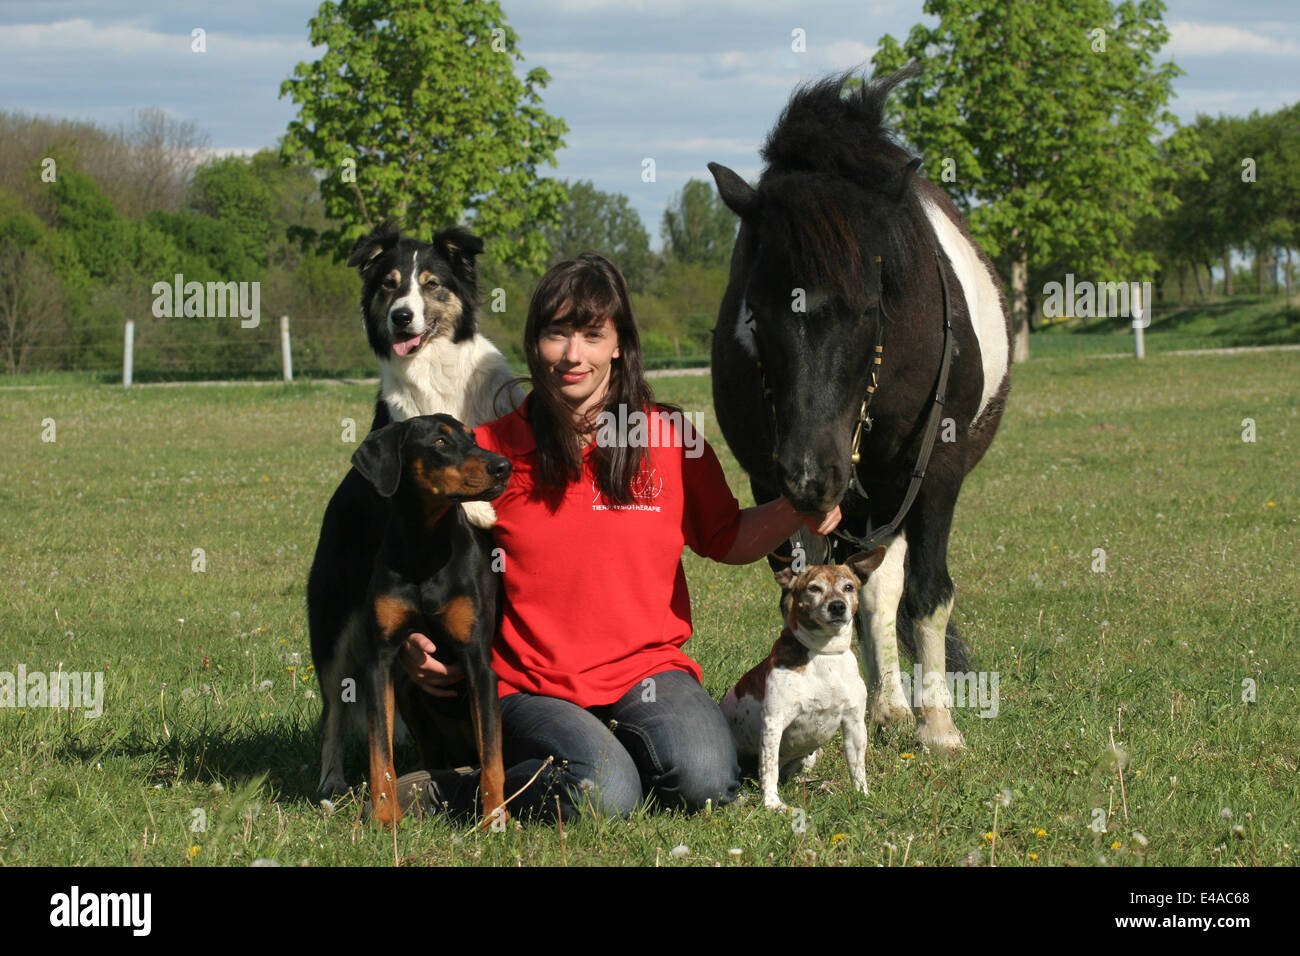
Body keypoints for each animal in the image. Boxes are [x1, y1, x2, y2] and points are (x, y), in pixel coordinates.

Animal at [312, 416, 514, 827]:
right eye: (439, 442)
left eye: (472, 437)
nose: (503, 466)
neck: (426, 548)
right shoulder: (381, 661)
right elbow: (380, 752)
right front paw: (384, 816)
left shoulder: (478, 662)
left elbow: (492, 756)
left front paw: (493, 819)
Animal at [707, 67, 1008, 754]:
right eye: (754, 310)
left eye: (870, 306)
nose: (811, 474)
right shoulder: (770, 485)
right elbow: (803, 588)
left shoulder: (937, 468)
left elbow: (925, 594)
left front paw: (938, 726)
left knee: (883, 588)